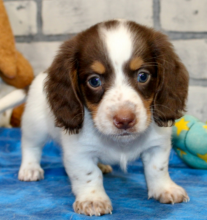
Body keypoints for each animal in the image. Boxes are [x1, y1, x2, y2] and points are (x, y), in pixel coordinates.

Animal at [17, 19, 189, 216]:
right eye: (94, 81)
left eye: (143, 76)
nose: (124, 120)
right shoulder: (78, 153)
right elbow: (88, 174)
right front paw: (93, 199)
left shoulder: (157, 146)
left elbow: (157, 168)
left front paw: (165, 189)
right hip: (34, 125)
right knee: (30, 146)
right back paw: (30, 168)